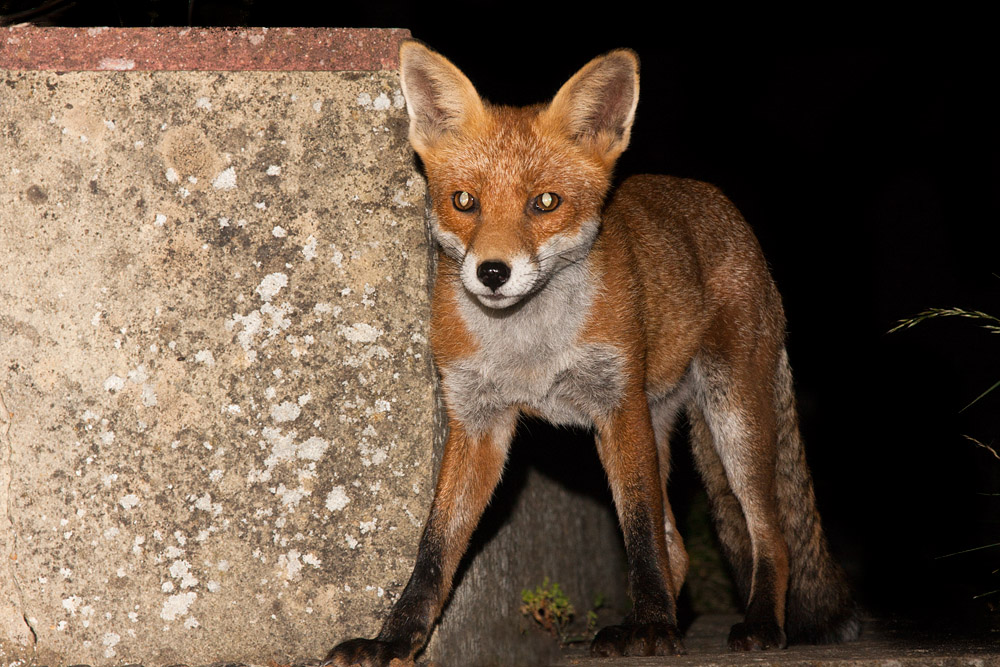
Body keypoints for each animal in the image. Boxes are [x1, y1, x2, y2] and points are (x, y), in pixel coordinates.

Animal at [325, 40, 860, 665]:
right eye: (464, 201)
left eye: (544, 203)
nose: (492, 273)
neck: (529, 349)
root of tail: (720, 204)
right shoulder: (478, 420)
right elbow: (435, 548)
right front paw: (394, 638)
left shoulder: (617, 405)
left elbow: (640, 534)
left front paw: (653, 628)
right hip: (662, 421)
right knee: (679, 545)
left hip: (732, 418)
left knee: (767, 534)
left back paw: (756, 625)